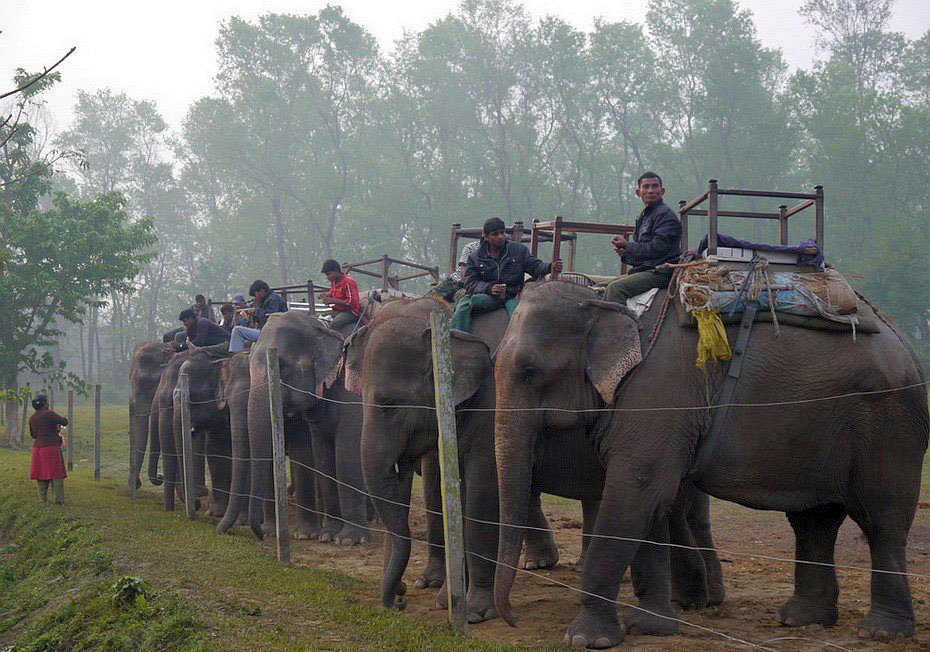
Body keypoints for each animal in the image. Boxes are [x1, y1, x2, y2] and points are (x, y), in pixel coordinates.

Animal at [246, 310, 370, 544]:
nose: (260, 535)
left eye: (282, 365)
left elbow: (346, 454)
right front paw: (327, 535)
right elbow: (322, 458)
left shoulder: (353, 399)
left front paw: (348, 540)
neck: (323, 328)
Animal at [340, 296, 600, 620]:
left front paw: (475, 612)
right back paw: (546, 566)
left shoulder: (492, 408)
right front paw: (442, 597)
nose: (400, 596)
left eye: (390, 403)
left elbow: (480, 492)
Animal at [490, 278, 924, 648]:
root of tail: (908, 344)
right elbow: (649, 502)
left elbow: (635, 492)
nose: (512, 619)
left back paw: (881, 631)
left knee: (881, 520)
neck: (602, 301)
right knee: (814, 520)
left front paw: (586, 639)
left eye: (530, 371)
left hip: (888, 426)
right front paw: (650, 627)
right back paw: (802, 619)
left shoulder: (658, 395)